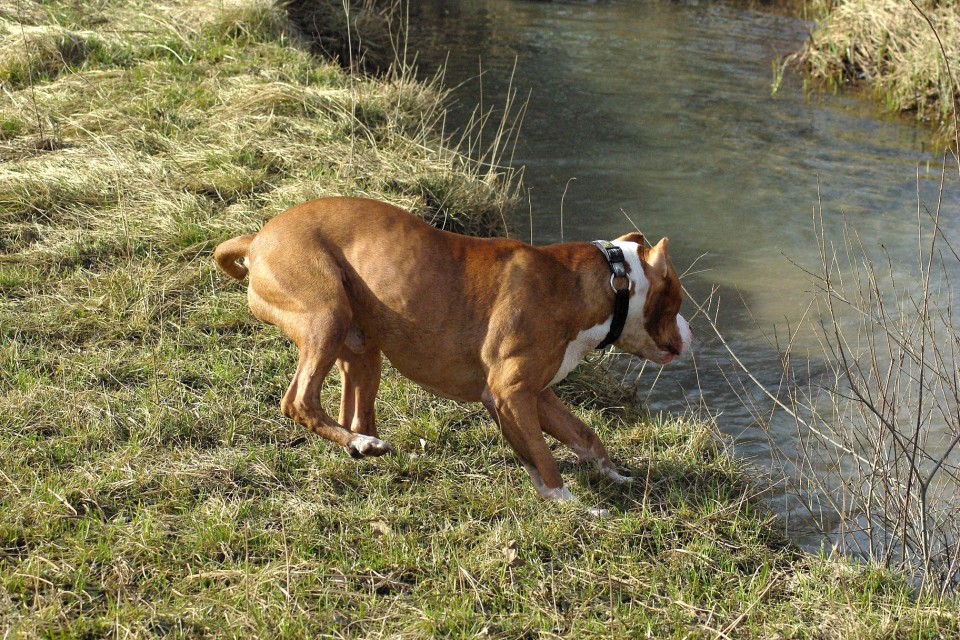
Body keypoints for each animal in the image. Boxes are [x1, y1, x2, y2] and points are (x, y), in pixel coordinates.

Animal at [214, 198, 688, 502]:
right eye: (678, 301)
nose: (690, 330)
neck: (606, 281)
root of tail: (257, 238)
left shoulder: (537, 396)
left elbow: (583, 437)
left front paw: (616, 476)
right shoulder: (511, 394)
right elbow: (544, 457)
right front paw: (572, 503)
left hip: (362, 348)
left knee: (352, 412)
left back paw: (365, 445)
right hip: (325, 317)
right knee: (299, 400)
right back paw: (360, 441)